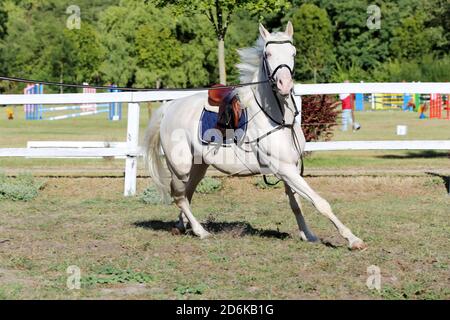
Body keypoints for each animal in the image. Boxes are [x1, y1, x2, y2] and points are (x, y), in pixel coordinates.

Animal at [142, 21, 368, 250]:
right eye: (268, 54)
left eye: (293, 52)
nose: (285, 84)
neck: (278, 119)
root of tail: (169, 108)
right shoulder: (284, 168)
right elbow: (319, 202)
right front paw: (352, 239)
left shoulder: (292, 167)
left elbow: (296, 204)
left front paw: (308, 235)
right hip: (180, 168)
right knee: (179, 196)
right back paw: (200, 231)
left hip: (198, 167)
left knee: (186, 194)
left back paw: (181, 226)